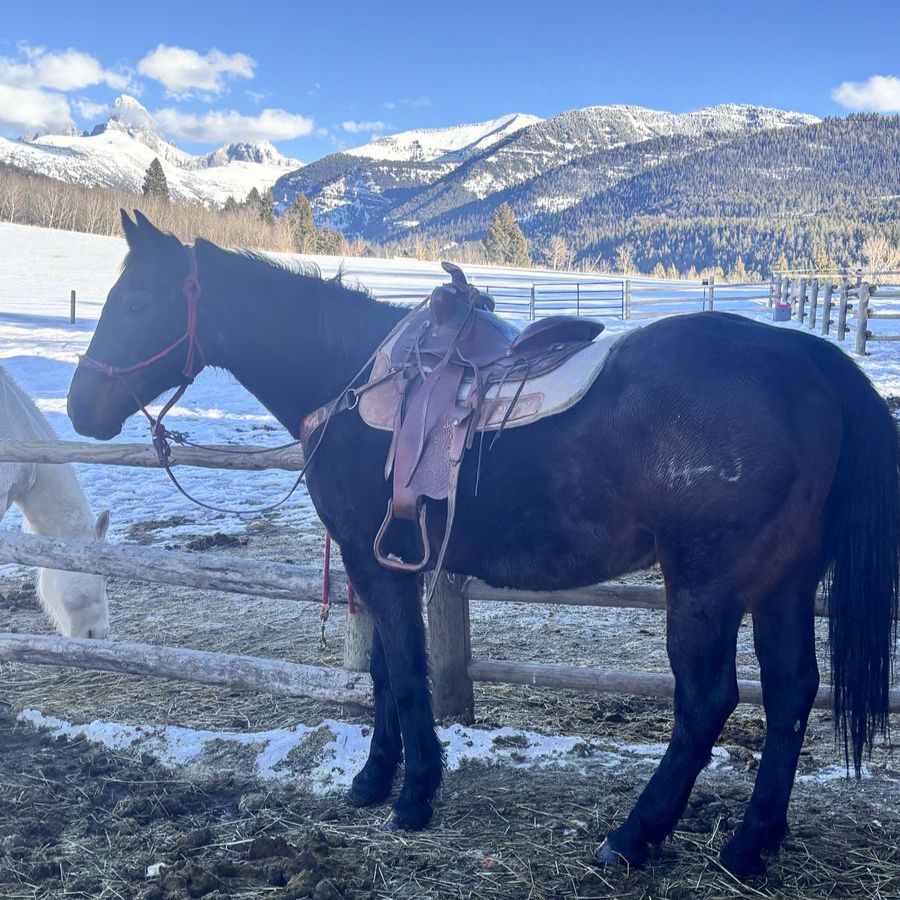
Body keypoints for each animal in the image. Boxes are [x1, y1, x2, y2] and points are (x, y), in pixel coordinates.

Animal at [66, 210, 898, 880]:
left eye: (136, 302)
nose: (80, 408)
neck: (351, 382)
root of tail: (807, 361)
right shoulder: (383, 565)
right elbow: (382, 673)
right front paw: (373, 781)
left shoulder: (376, 561)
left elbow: (406, 674)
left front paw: (413, 796)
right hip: (784, 585)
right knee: (791, 695)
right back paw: (752, 844)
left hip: (704, 587)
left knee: (706, 703)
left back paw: (634, 835)